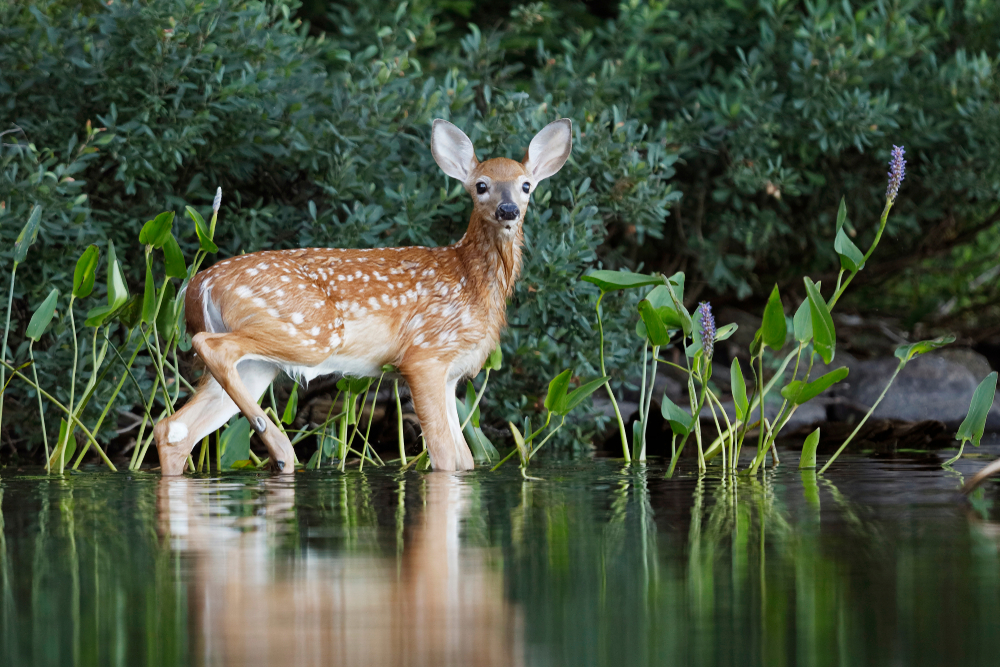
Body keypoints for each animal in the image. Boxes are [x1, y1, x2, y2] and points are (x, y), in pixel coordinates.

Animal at [153, 118, 573, 475]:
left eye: (526, 185)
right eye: (481, 185)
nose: (508, 209)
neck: (470, 282)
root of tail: (199, 284)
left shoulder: (453, 373)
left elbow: (465, 459)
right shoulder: (424, 355)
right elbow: (443, 456)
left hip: (261, 365)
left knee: (173, 428)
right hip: (311, 332)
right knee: (209, 350)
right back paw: (279, 444)